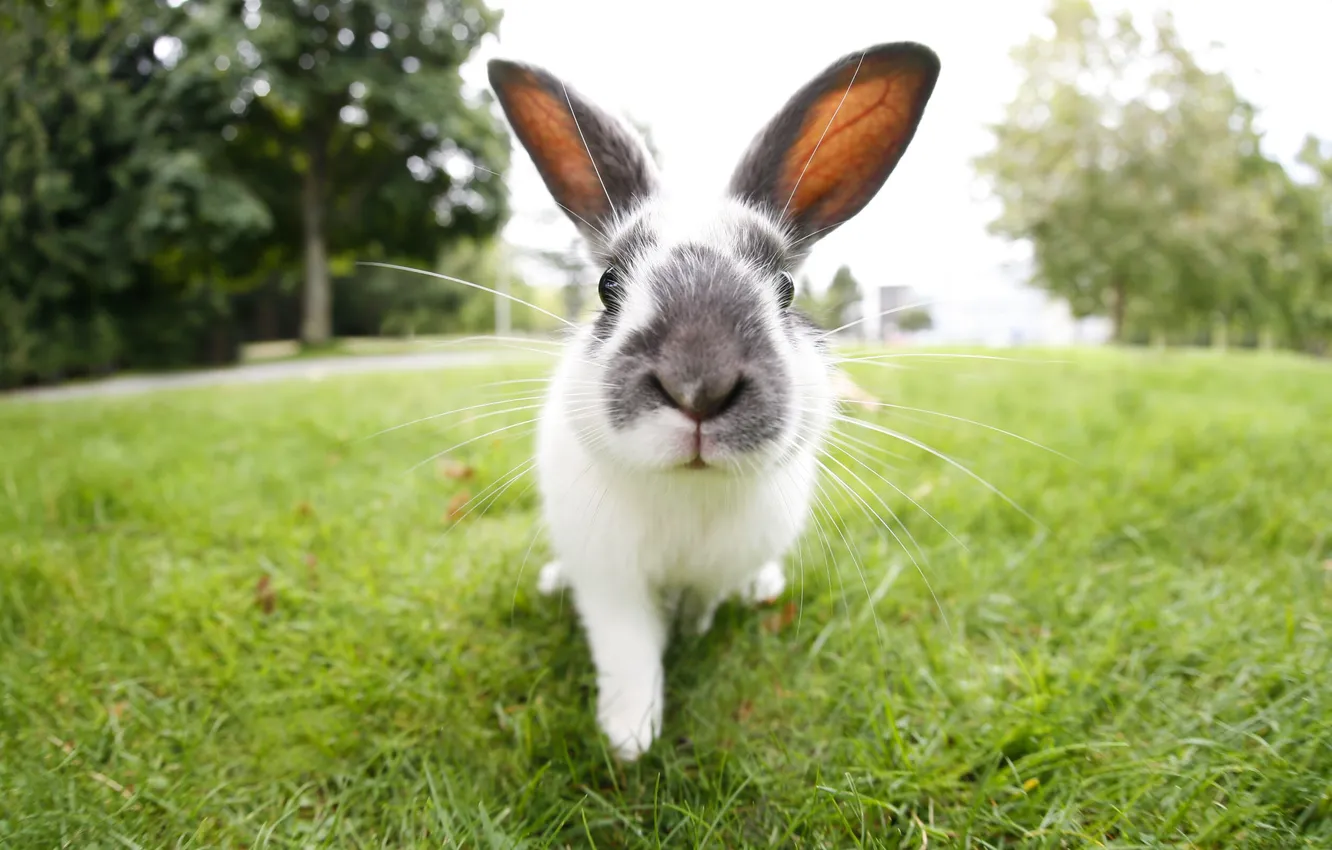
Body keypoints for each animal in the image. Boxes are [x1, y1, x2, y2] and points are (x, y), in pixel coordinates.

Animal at [487, 41, 939, 761]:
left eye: (786, 288)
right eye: (608, 286)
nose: (698, 385)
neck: (688, 491)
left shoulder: (715, 570)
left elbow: (699, 608)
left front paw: (690, 639)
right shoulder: (611, 582)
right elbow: (630, 652)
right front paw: (629, 737)